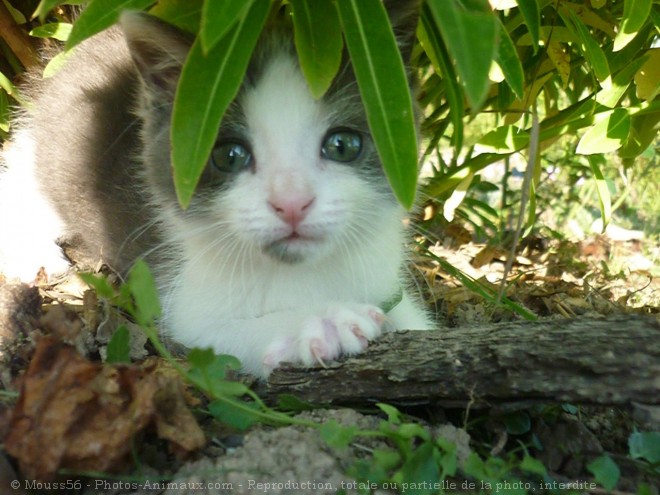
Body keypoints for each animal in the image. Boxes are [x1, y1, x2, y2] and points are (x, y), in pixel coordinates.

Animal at [0, 3, 434, 378]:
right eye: (229, 156)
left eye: (343, 145)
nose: (292, 203)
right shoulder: (181, 296)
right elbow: (214, 333)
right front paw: (321, 322)